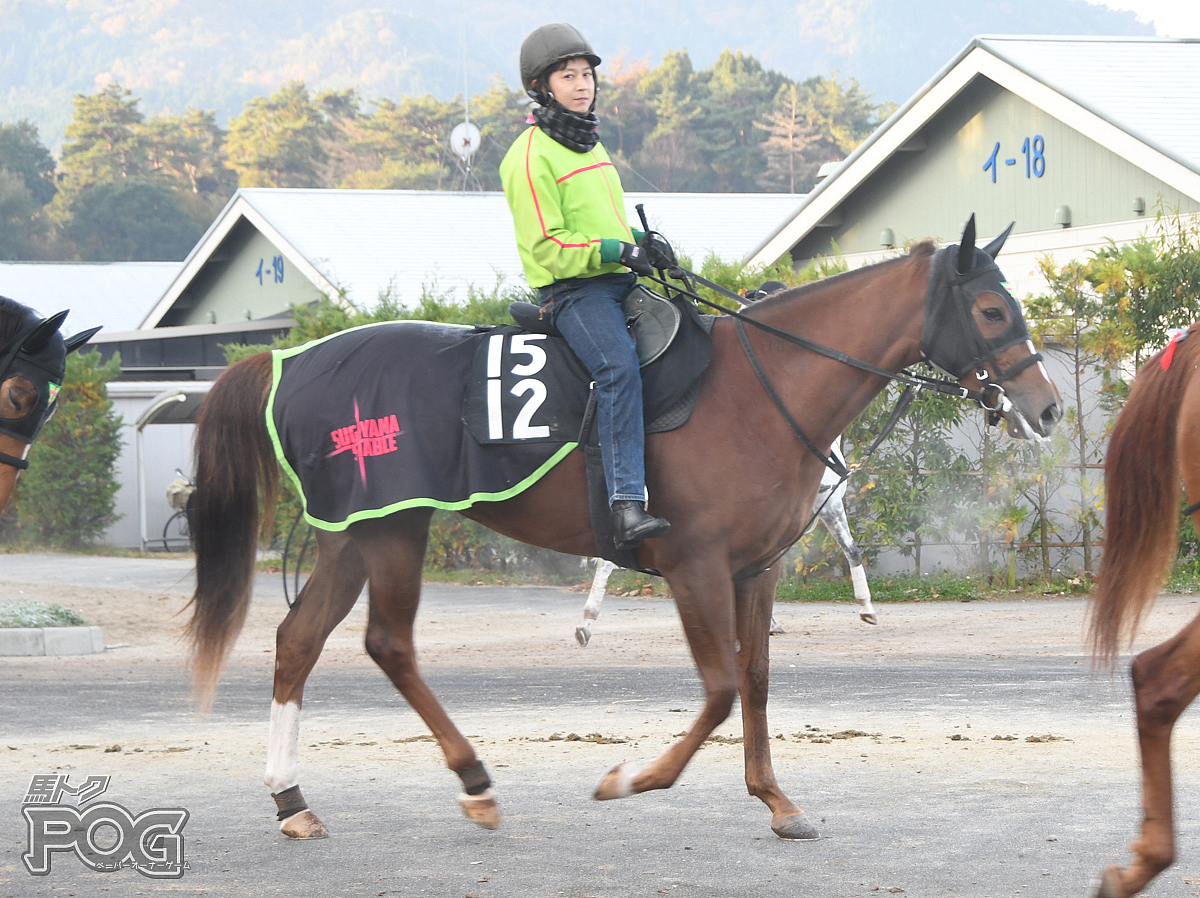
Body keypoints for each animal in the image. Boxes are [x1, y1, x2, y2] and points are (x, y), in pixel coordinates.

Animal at [184, 216, 1060, 840]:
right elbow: (719, 690)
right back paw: (473, 782)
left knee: (299, 640)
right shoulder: (694, 566)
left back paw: (293, 799)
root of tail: (292, 360)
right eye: (991, 308)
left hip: (355, 531)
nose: (1046, 407)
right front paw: (632, 778)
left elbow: (755, 682)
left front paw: (775, 798)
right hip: (394, 531)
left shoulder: (755, 570)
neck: (756, 388)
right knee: (387, 644)